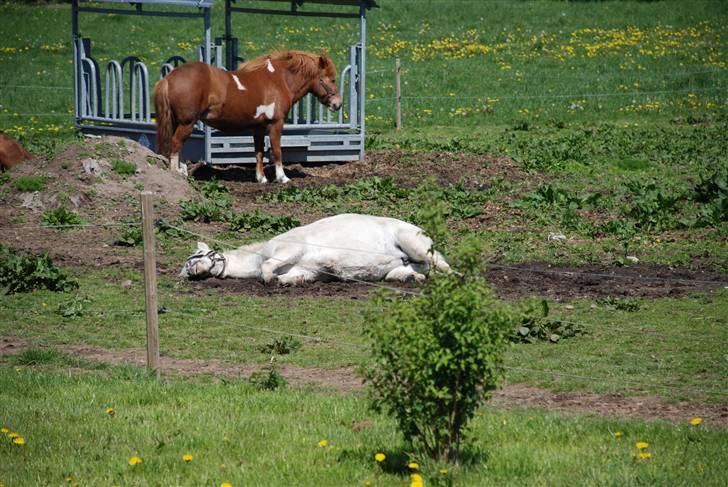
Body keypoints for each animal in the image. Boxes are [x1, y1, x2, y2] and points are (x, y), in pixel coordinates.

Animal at [154, 50, 342, 182]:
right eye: (331, 79)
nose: (338, 104)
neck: (279, 80)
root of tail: (168, 78)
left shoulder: (258, 127)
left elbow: (259, 152)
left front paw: (261, 178)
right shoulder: (276, 123)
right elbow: (276, 150)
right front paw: (282, 178)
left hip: (177, 122)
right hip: (187, 123)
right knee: (176, 144)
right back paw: (177, 174)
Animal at [181, 214, 450, 286]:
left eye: (197, 255)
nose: (190, 269)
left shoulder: (291, 249)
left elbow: (268, 269)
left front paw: (270, 280)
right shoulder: (308, 271)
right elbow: (292, 277)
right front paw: (287, 282)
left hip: (415, 245)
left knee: (446, 269)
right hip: (399, 268)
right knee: (421, 272)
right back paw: (413, 278)